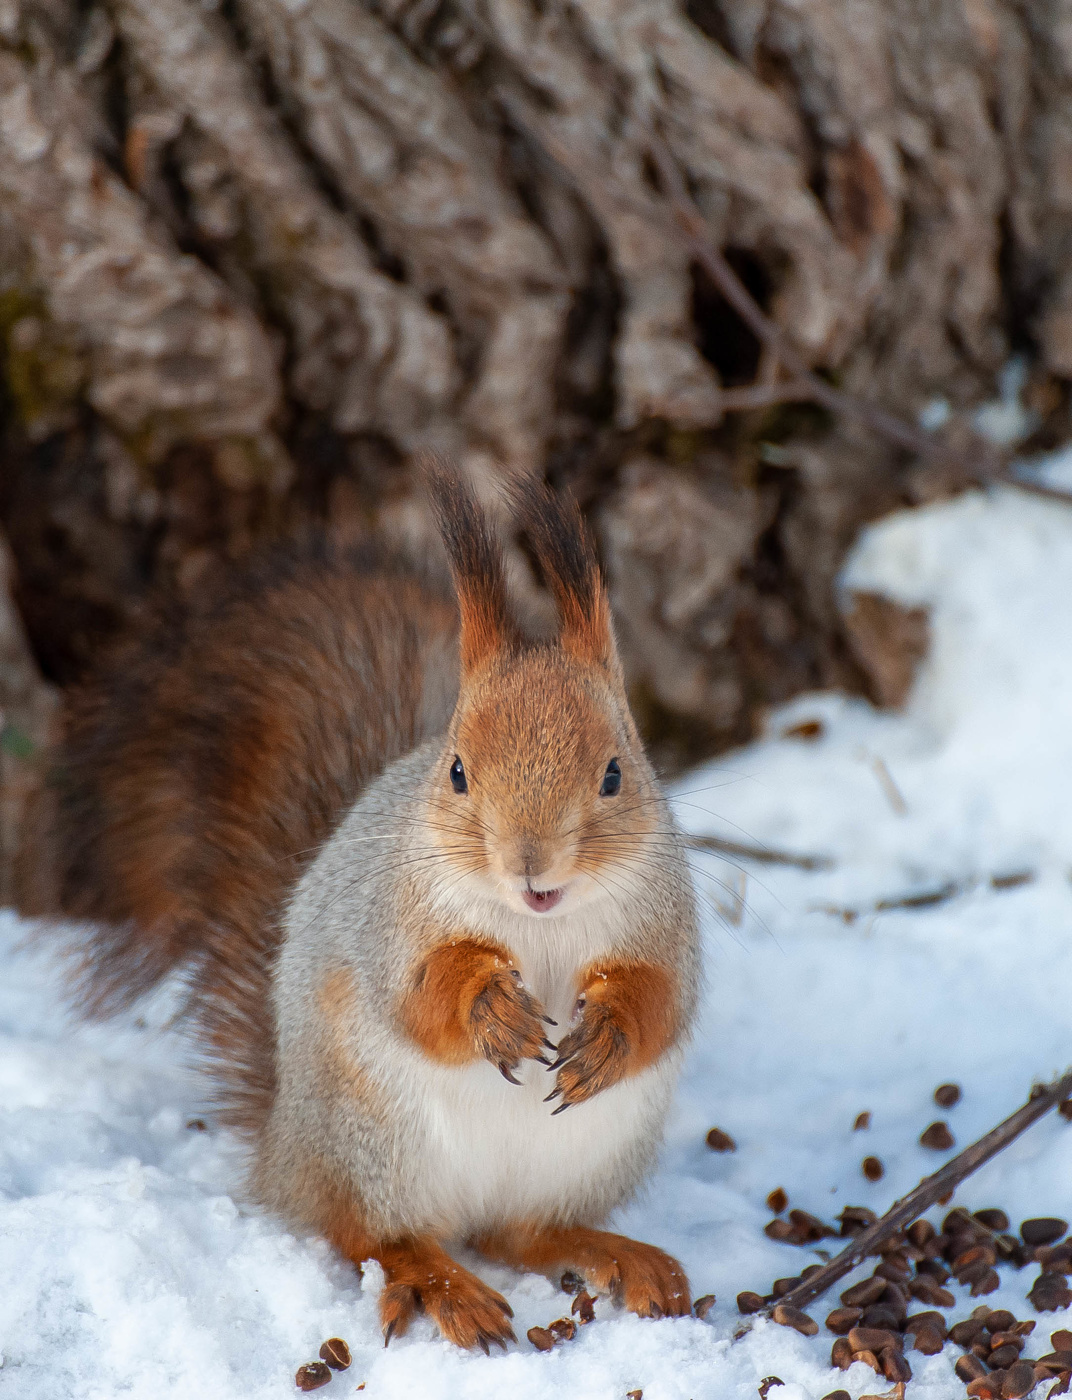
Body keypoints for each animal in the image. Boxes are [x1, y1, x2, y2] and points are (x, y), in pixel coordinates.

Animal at [27, 464, 705, 1349]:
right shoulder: (389, 919)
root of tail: (285, 1150)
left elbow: (663, 1001)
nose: (530, 867)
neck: (541, 926)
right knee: (369, 1233)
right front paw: (491, 1008)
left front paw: (611, 1035)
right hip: (373, 1140)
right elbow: (418, 997)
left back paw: (614, 1254)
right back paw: (439, 1284)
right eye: (457, 770)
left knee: (519, 1232)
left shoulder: (666, 923)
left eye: (616, 772)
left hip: (585, 1152)